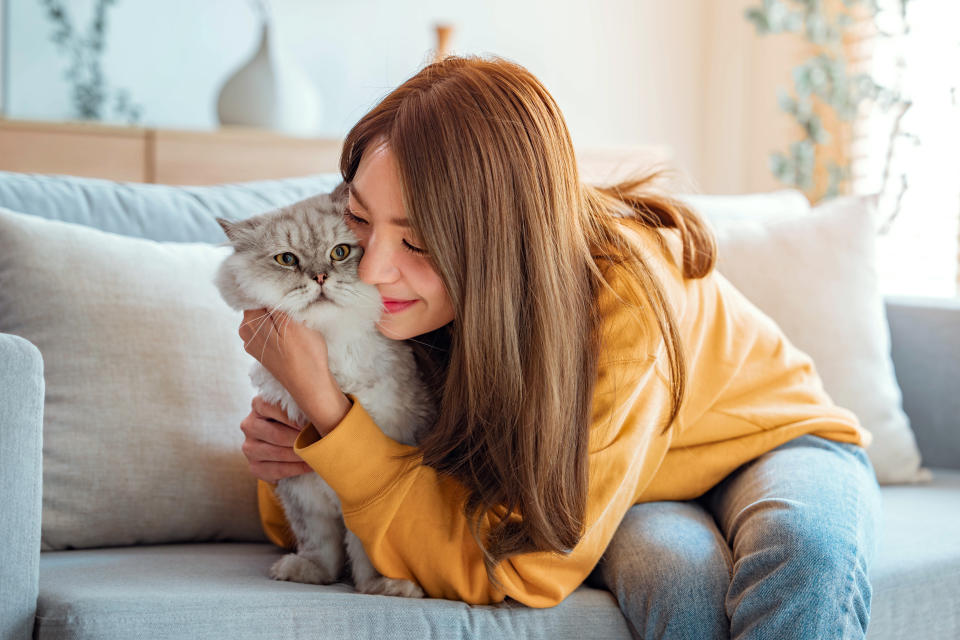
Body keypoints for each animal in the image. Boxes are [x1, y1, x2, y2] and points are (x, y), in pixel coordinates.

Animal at [214, 185, 436, 600]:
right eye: (286, 260)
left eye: (340, 252)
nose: (319, 276)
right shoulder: (301, 491)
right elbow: (319, 545)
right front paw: (309, 573)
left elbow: (367, 550)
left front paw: (382, 587)